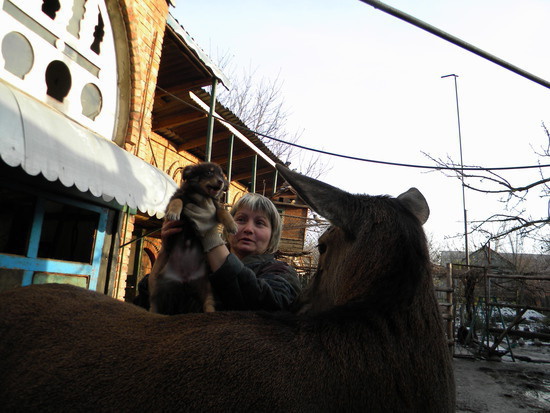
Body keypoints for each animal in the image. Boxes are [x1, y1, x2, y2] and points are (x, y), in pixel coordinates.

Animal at [148, 162, 237, 314]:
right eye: (209, 173)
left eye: (221, 176)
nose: (221, 182)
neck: (201, 196)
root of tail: (184, 280)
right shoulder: (177, 198)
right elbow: (178, 201)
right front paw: (173, 213)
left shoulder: (215, 206)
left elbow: (223, 212)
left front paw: (232, 225)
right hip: (159, 288)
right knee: (155, 305)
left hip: (207, 288)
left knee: (208, 304)